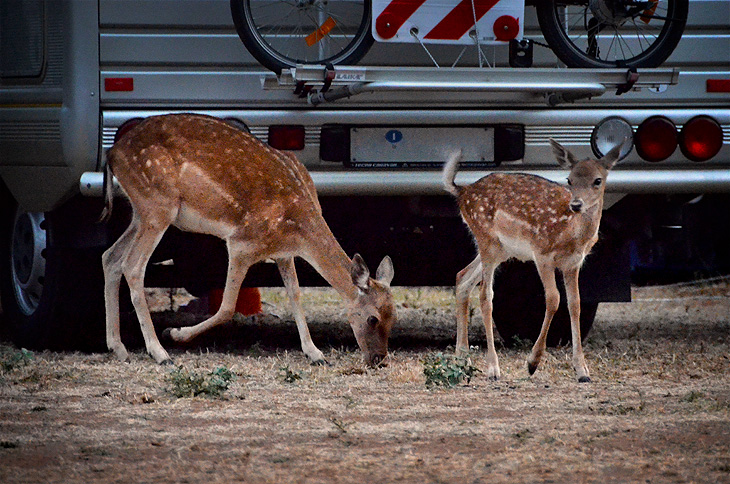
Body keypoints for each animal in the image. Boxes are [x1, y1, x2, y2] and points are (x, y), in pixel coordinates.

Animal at [100, 113, 396, 364]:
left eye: (393, 317)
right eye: (372, 319)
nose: (378, 359)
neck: (298, 227)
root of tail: (112, 154)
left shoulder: (284, 253)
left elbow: (295, 294)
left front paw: (315, 353)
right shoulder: (242, 243)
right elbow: (227, 307)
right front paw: (175, 333)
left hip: (141, 212)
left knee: (110, 256)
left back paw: (119, 348)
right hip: (157, 206)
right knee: (132, 265)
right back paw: (159, 352)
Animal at [440, 139, 624, 382]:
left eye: (597, 180)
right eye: (569, 179)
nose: (576, 204)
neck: (570, 231)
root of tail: (463, 192)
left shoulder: (573, 263)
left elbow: (575, 304)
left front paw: (582, 371)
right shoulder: (542, 253)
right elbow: (554, 299)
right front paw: (532, 363)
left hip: (501, 250)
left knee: (462, 277)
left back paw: (462, 359)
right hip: (486, 238)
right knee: (485, 295)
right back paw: (492, 368)